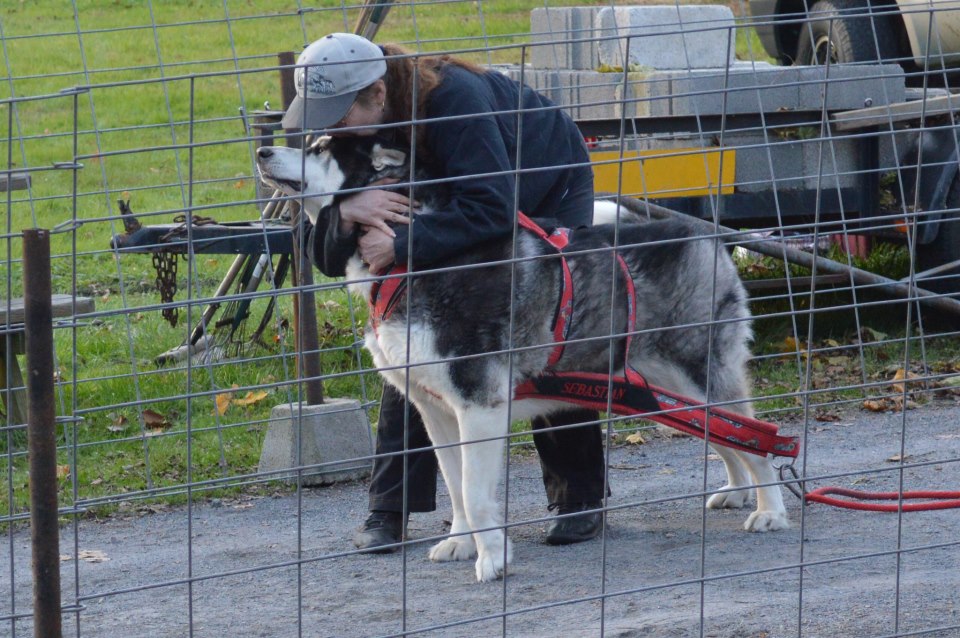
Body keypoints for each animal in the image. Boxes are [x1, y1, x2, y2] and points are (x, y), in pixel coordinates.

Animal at [255, 136, 788, 584]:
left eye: (320, 148)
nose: (262, 150)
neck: (411, 261)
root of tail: (697, 234)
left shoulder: (479, 406)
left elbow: (474, 492)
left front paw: (493, 561)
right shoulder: (436, 411)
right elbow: (455, 486)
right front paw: (461, 544)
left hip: (698, 379)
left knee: (758, 440)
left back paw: (769, 510)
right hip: (670, 396)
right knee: (729, 439)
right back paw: (737, 490)